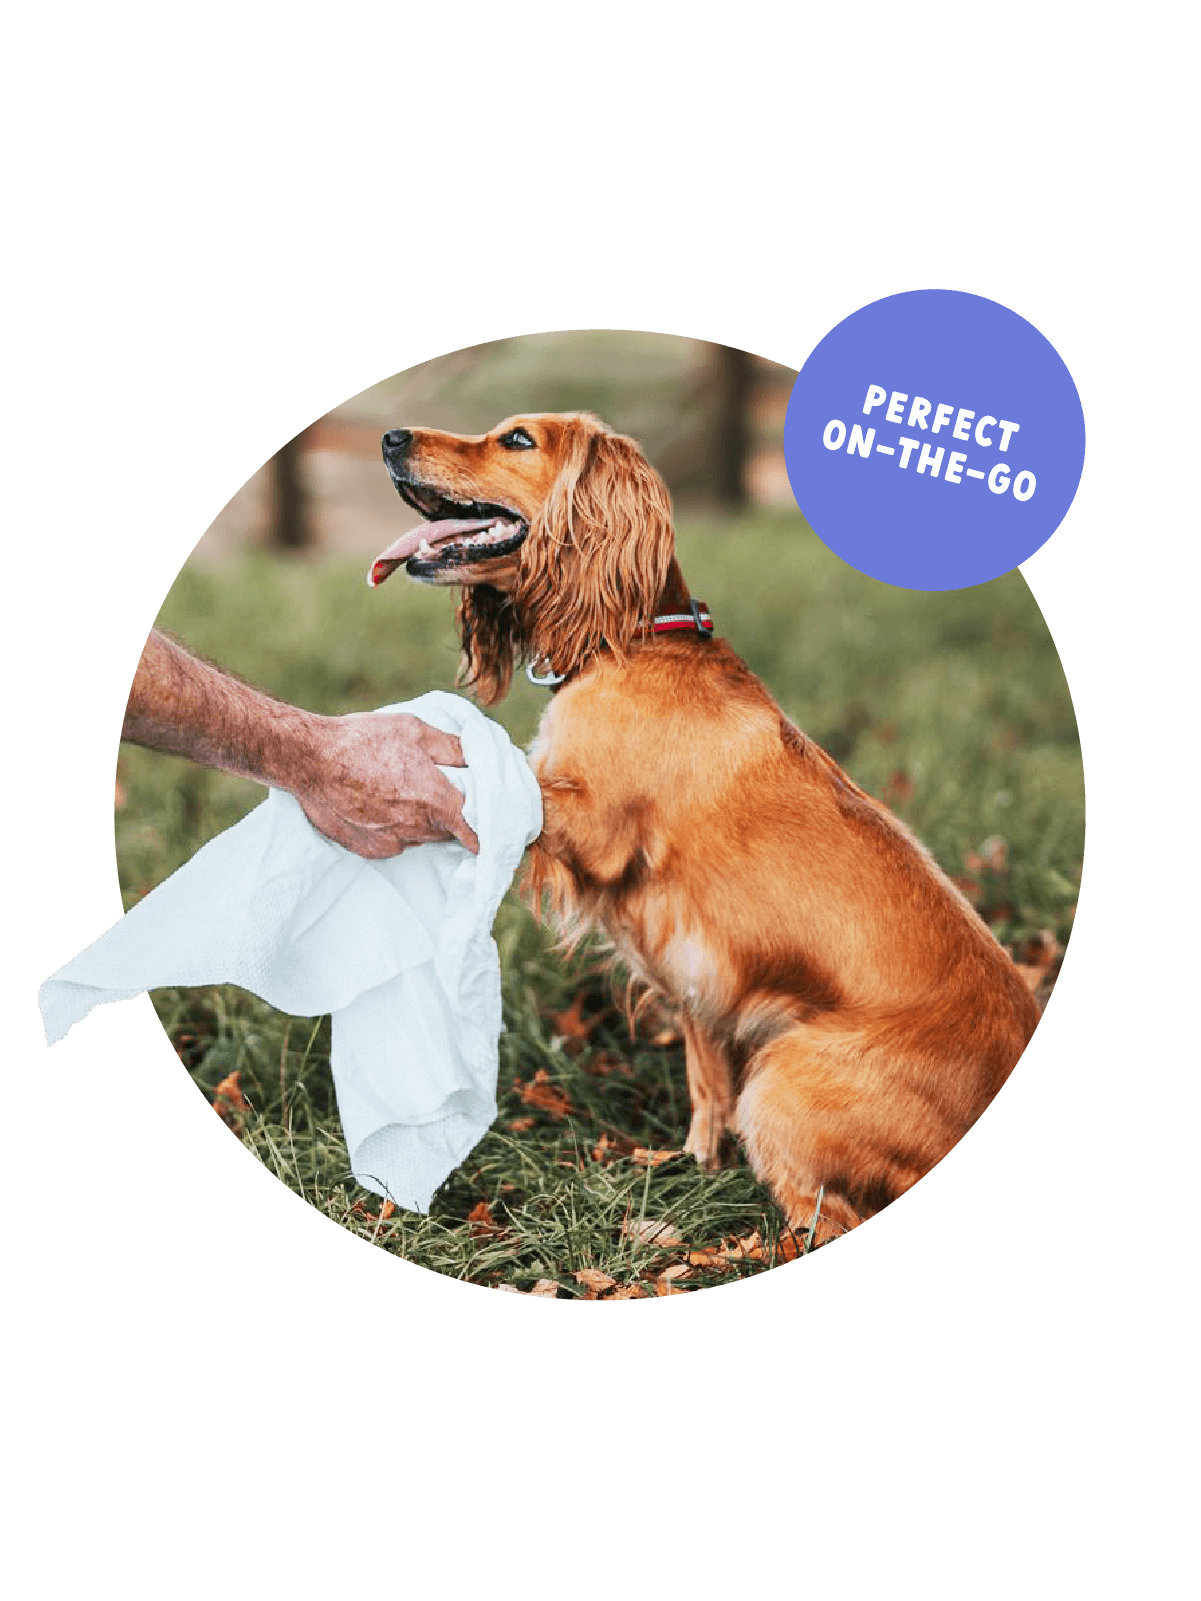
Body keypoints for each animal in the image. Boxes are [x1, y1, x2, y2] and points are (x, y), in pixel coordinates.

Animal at [369, 409, 1044, 1235]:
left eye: (518, 440)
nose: (391, 437)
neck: (629, 641)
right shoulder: (696, 975)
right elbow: (703, 1080)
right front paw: (694, 1161)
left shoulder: (590, 827)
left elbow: (483, 770)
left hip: (782, 1079)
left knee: (822, 1212)